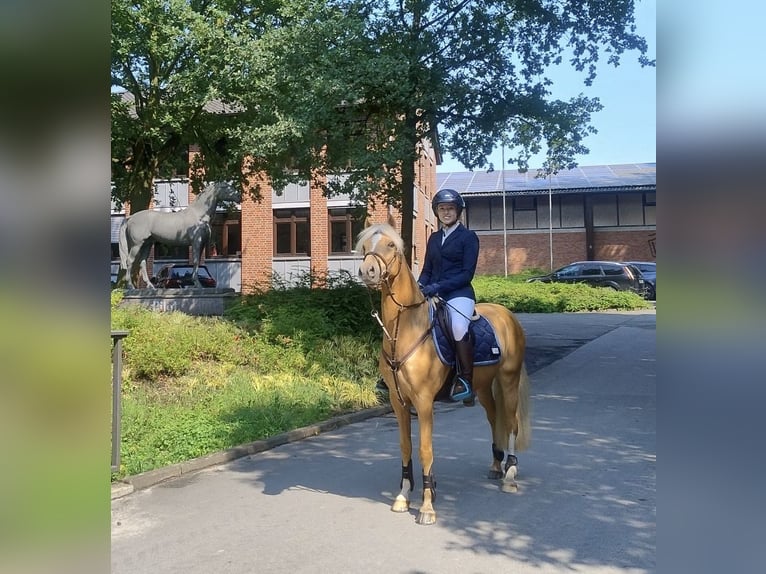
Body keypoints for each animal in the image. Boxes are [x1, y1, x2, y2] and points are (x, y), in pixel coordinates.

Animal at [356, 224, 532, 528]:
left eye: (390, 245)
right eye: (366, 246)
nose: (368, 271)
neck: (406, 329)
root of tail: (507, 314)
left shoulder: (424, 402)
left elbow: (425, 450)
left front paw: (427, 506)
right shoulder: (398, 402)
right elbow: (405, 446)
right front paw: (404, 495)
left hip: (508, 380)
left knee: (510, 423)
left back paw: (510, 474)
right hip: (483, 387)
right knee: (493, 419)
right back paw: (496, 465)